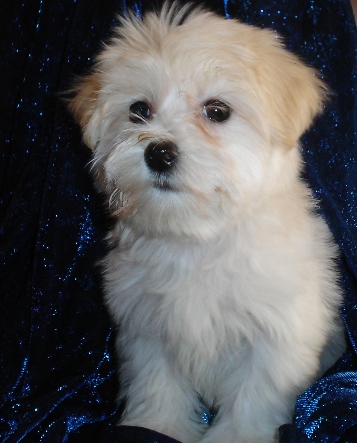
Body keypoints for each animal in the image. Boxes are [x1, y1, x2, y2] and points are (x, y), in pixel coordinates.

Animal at [68, 4, 344, 443]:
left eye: (217, 111)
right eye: (139, 110)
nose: (159, 152)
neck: (196, 238)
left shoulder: (274, 336)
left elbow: (255, 395)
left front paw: (238, 436)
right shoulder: (148, 328)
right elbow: (157, 382)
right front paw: (158, 426)